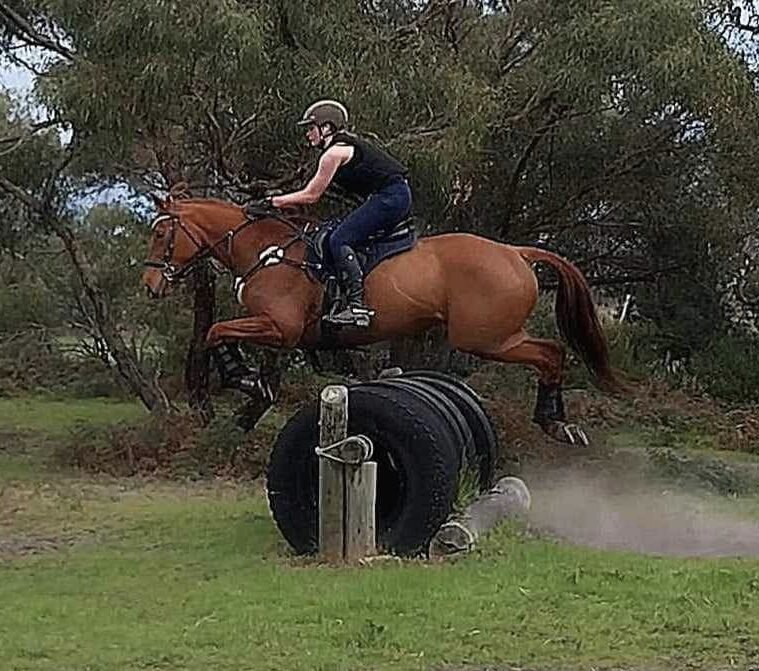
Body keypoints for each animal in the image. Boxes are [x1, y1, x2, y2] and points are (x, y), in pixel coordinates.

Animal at [141, 192, 623, 445]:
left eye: (162, 233)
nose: (149, 285)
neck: (267, 251)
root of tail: (515, 252)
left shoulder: (280, 328)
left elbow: (215, 331)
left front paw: (245, 379)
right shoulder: (288, 334)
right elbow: (218, 333)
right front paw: (249, 384)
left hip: (486, 338)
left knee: (550, 353)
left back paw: (553, 421)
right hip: (493, 336)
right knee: (554, 352)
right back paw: (558, 421)